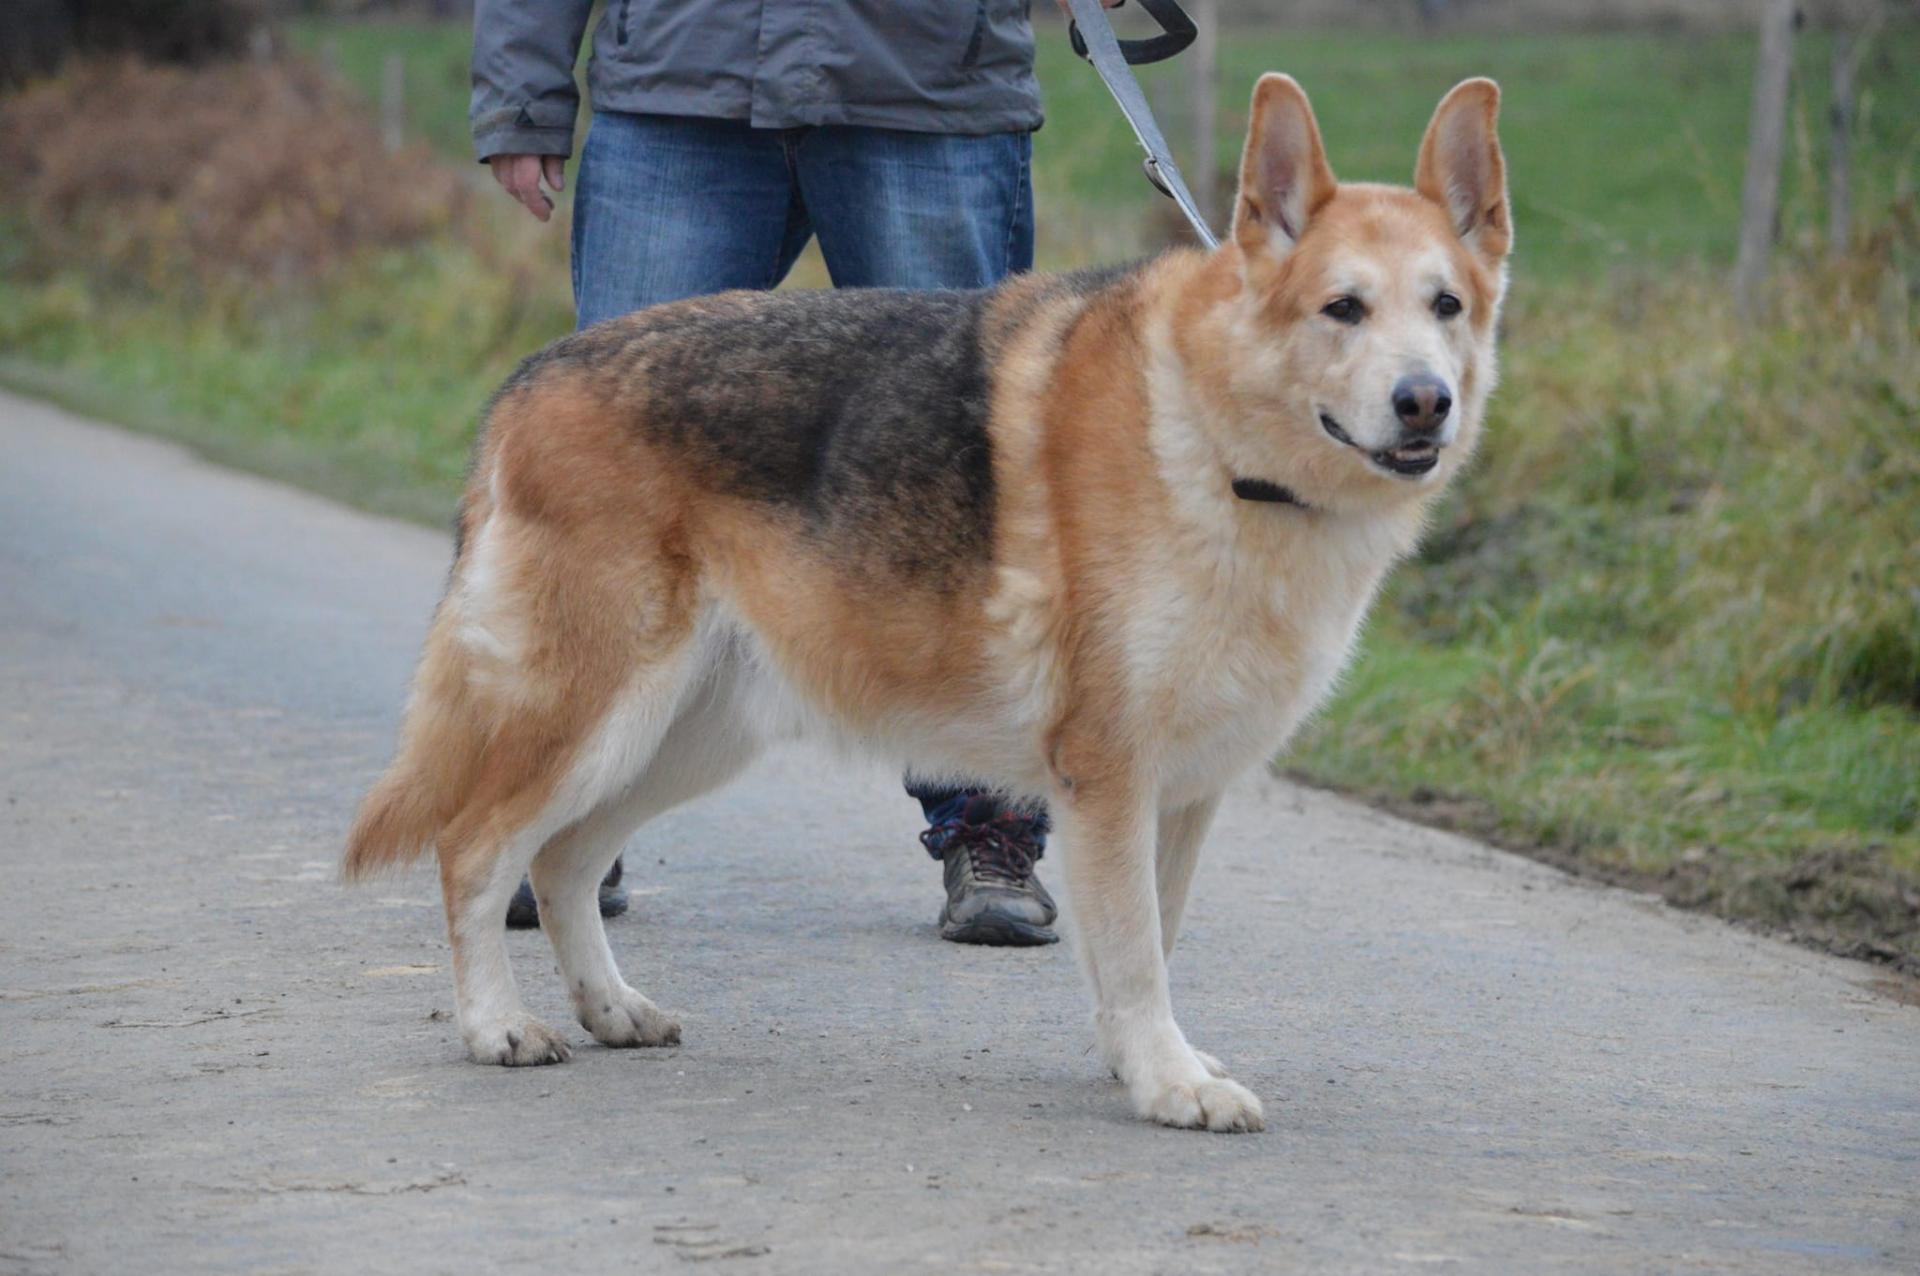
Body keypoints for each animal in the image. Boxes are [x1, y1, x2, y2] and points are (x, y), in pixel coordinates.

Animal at [349, 77, 1512, 1135]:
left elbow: (1151, 944)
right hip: (596, 720)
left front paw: (1139, 1063)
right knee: (476, 849)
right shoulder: (1111, 779)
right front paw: (1169, 1082)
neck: (1217, 439)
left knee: (564, 861)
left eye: (1444, 307)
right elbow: (1136, 952)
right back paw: (497, 1026)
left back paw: (612, 1010)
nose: (1426, 403)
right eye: (1343, 308)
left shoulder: (1180, 796)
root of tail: (528, 378)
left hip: (684, 738)